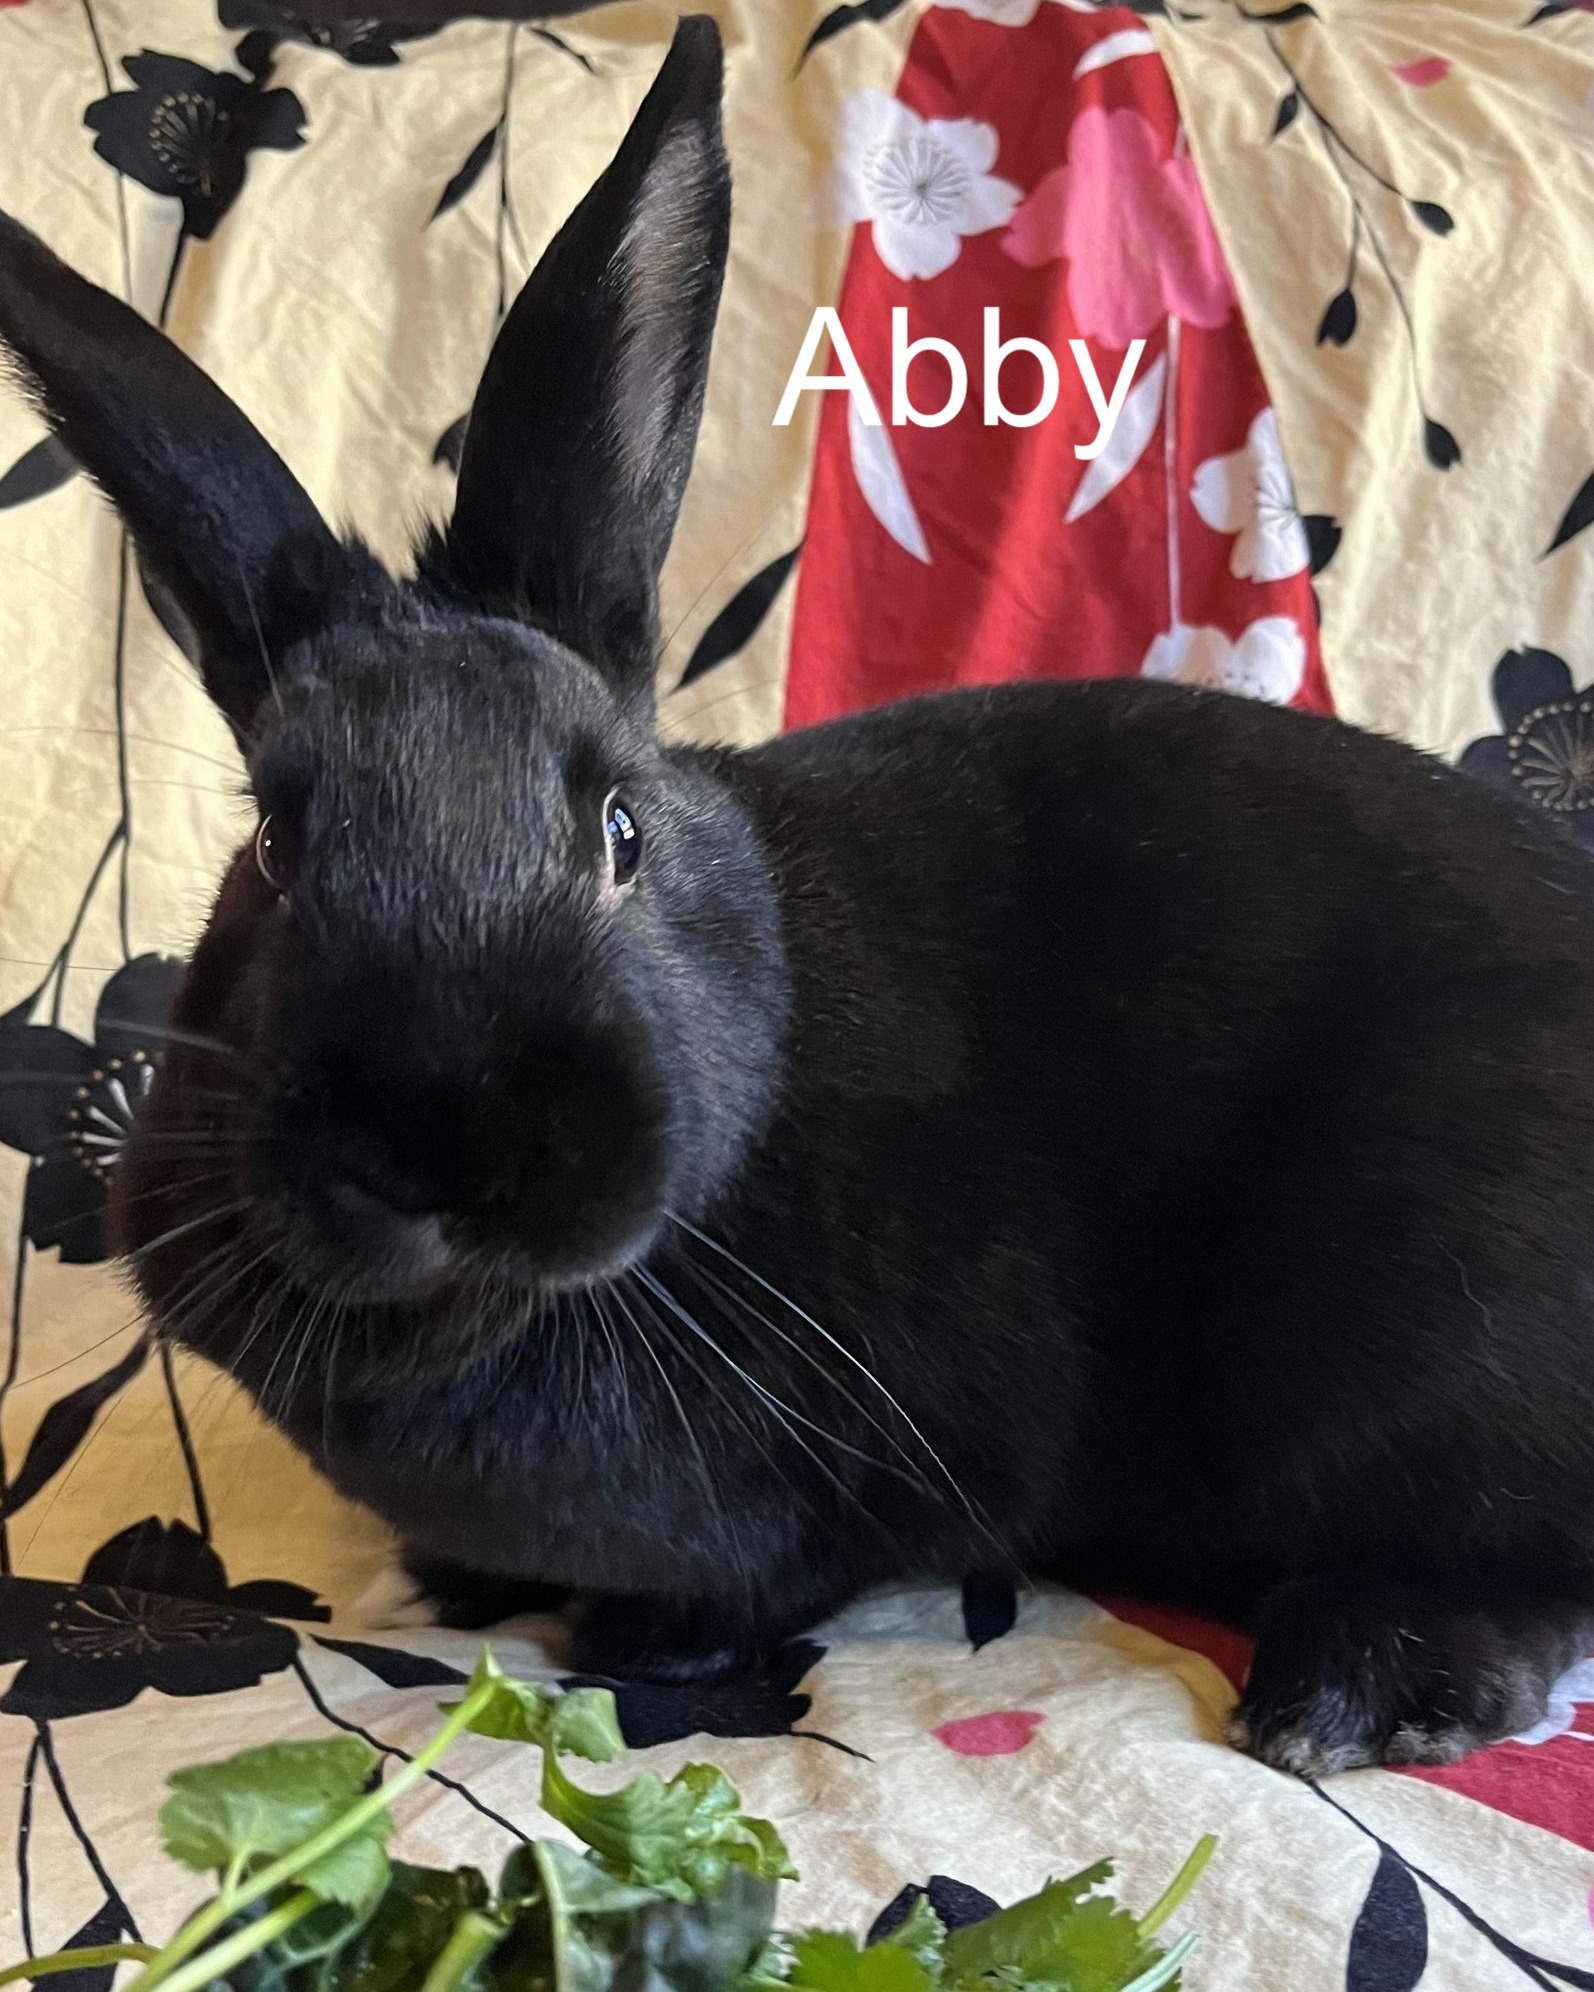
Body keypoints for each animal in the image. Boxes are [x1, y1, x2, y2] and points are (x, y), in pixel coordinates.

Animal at [5, 15, 1594, 1778]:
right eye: (278, 854)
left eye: (618, 831)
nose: (444, 1150)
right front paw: (450, 1579)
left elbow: (759, 1578)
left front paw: (635, 1640)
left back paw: (1348, 1689)